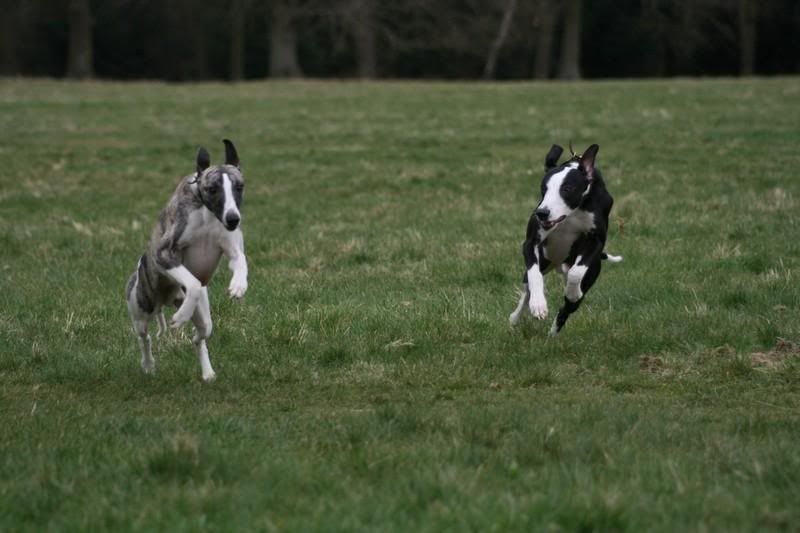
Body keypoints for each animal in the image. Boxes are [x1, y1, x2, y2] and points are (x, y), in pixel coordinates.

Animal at [125, 139, 247, 380]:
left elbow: (240, 261)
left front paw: (238, 286)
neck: (206, 211)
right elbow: (193, 283)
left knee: (202, 333)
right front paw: (180, 317)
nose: (232, 219)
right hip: (141, 307)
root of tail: (165, 300)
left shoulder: (232, 246)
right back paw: (148, 364)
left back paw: (207, 370)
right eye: (213, 189)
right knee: (144, 336)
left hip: (202, 315)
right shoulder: (163, 253)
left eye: (239, 187)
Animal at [510, 143, 620, 334]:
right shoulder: (531, 243)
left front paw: (572, 292)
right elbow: (534, 274)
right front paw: (538, 305)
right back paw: (517, 316)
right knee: (527, 287)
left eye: (567, 189)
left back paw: (553, 332)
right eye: (543, 189)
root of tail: (557, 264)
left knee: (567, 309)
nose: (542, 213)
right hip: (544, 261)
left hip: (590, 273)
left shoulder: (596, 241)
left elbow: (577, 273)